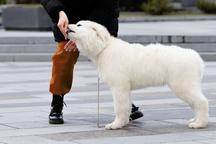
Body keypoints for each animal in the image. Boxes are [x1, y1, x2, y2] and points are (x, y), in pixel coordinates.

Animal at [67, 20, 208, 129]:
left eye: (79, 25)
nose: (67, 26)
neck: (103, 48)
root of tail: (196, 57)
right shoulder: (125, 88)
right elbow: (126, 106)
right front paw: (123, 123)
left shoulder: (119, 86)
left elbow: (119, 106)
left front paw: (115, 125)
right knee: (196, 103)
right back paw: (195, 120)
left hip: (183, 84)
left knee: (202, 102)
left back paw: (199, 124)